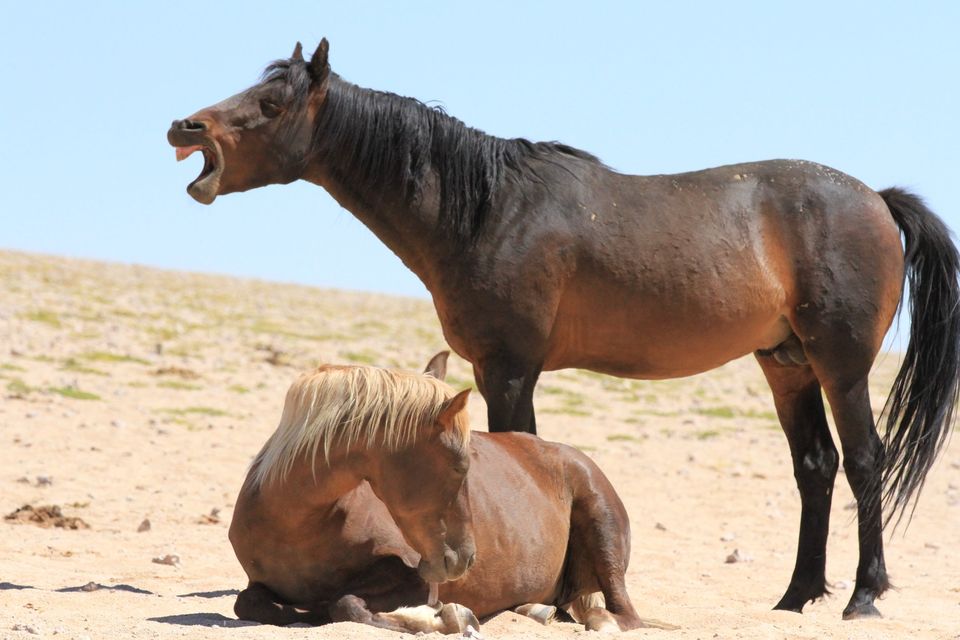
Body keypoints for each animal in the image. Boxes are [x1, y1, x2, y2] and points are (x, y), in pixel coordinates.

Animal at [226, 352, 648, 632]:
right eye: (460, 466)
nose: (464, 559)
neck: (299, 526)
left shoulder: (413, 579)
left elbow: (343, 605)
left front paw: (436, 618)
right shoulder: (258, 583)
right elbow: (249, 602)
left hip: (603, 527)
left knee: (623, 614)